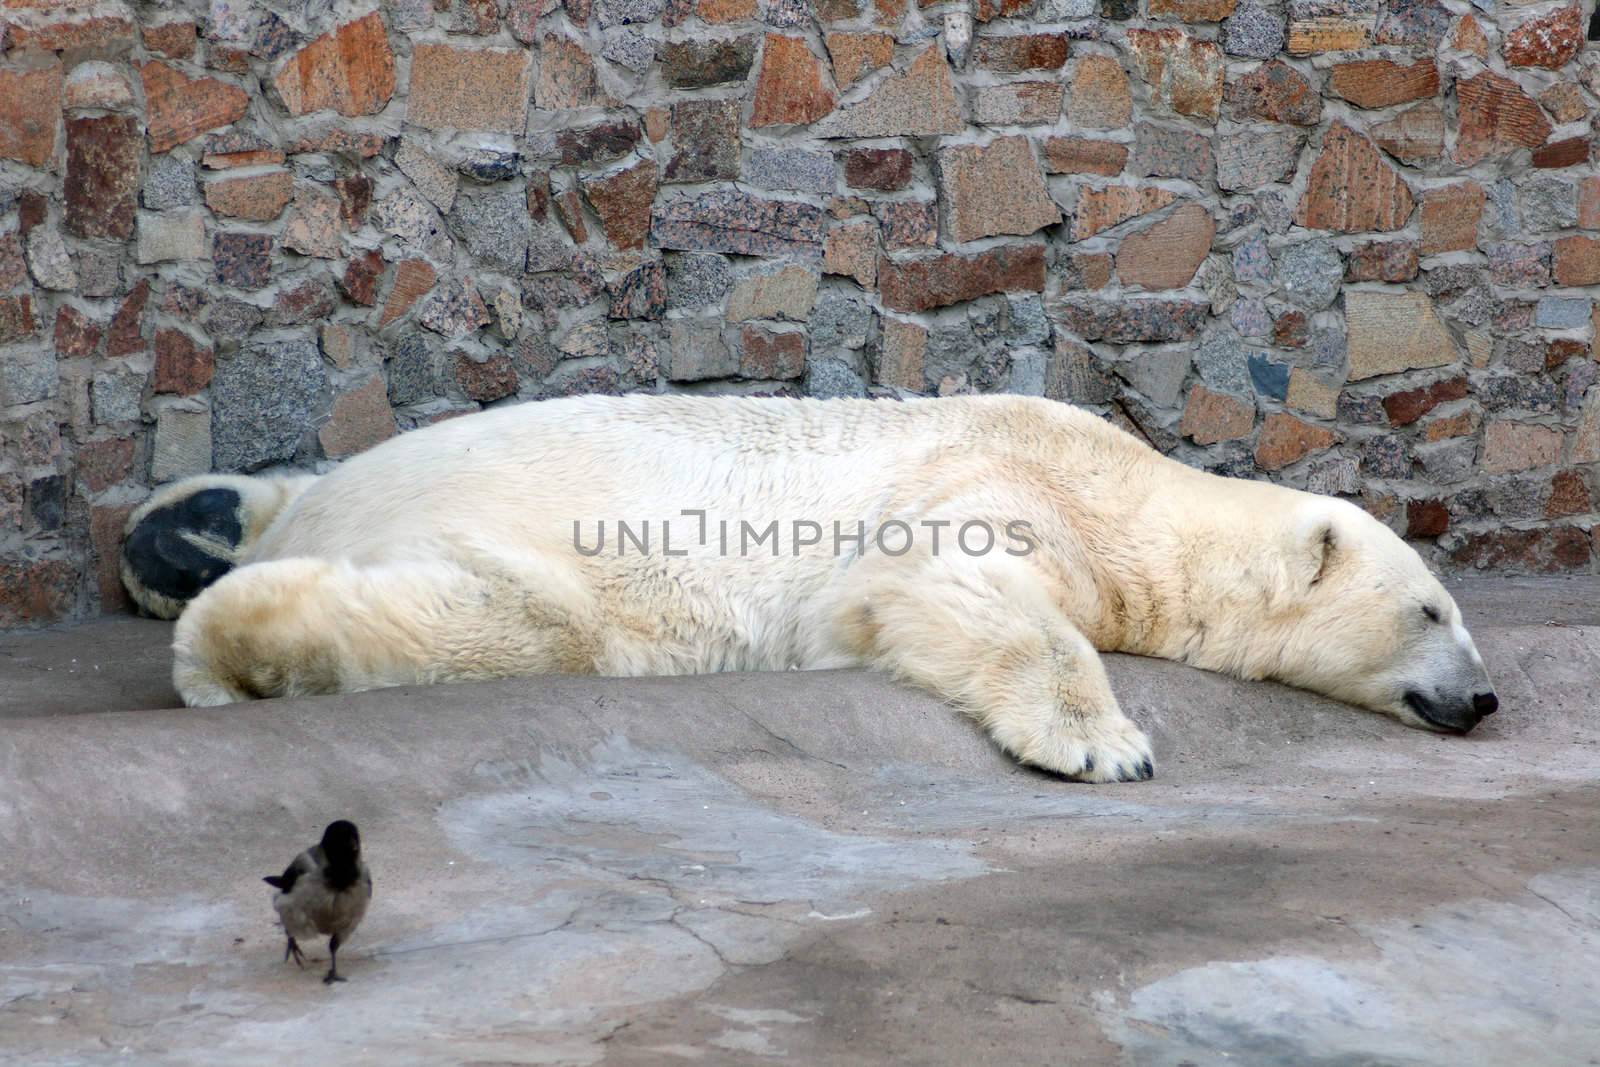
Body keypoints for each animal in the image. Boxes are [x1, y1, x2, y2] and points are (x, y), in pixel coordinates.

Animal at [124, 391, 1497, 783]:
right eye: (1432, 609)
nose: (1483, 697)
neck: (1130, 493)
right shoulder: (990, 483)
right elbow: (959, 588)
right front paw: (1103, 743)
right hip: (546, 549)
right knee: (499, 620)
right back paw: (226, 633)